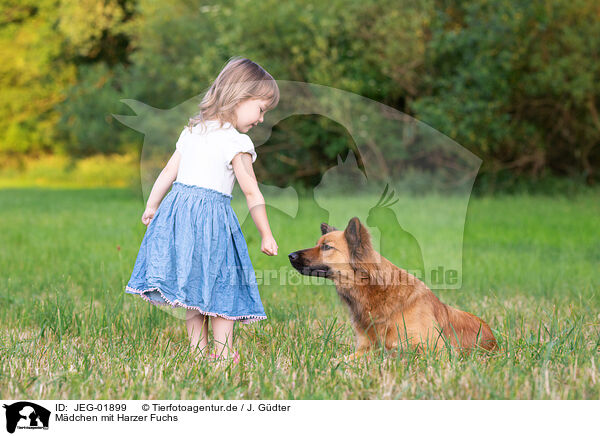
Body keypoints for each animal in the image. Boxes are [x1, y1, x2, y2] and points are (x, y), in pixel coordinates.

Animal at [288, 216, 496, 356]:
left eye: (326, 247)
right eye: (318, 244)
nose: (290, 255)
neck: (376, 291)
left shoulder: (432, 348)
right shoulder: (364, 346)